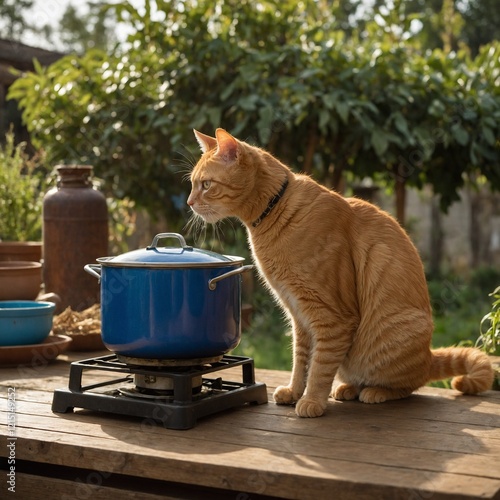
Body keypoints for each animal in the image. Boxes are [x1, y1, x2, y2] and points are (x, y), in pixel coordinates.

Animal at [188, 128, 496, 418]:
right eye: (192, 184)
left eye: (206, 184)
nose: (189, 202)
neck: (275, 211)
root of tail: (429, 355)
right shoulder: (300, 317)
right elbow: (301, 361)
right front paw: (295, 392)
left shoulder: (331, 316)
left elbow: (320, 366)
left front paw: (312, 400)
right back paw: (348, 388)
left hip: (399, 331)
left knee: (409, 385)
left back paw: (375, 392)